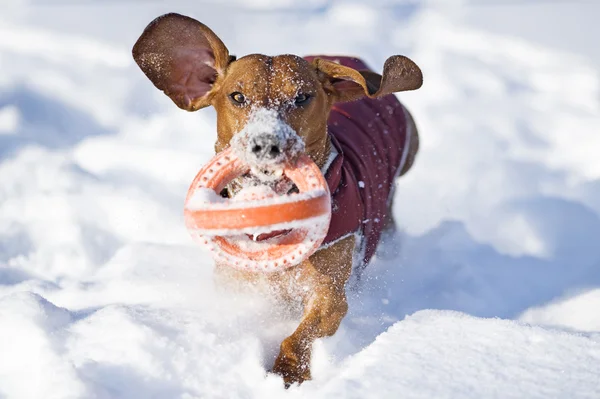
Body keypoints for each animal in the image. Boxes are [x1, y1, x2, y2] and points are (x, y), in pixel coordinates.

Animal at [132, 13, 422, 388]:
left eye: (302, 97)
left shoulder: (329, 296)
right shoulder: (236, 285)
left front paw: (286, 373)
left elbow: (300, 335)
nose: (266, 144)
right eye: (237, 96)